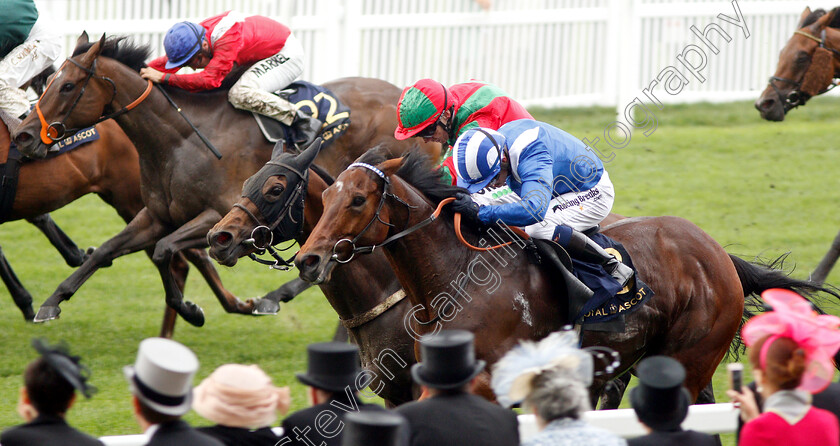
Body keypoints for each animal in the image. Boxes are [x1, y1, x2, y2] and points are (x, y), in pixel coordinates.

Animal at [11, 34, 440, 326]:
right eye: (48, 81)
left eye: (67, 85)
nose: (24, 135)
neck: (180, 138)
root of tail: (407, 97)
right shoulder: (157, 214)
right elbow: (104, 251)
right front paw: (51, 302)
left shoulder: (218, 214)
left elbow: (165, 250)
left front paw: (190, 309)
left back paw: (276, 294)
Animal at [294, 152, 828, 402]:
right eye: (328, 197)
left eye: (357, 200)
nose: (309, 260)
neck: (451, 281)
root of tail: (717, 254)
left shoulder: (488, 379)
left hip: (690, 356)